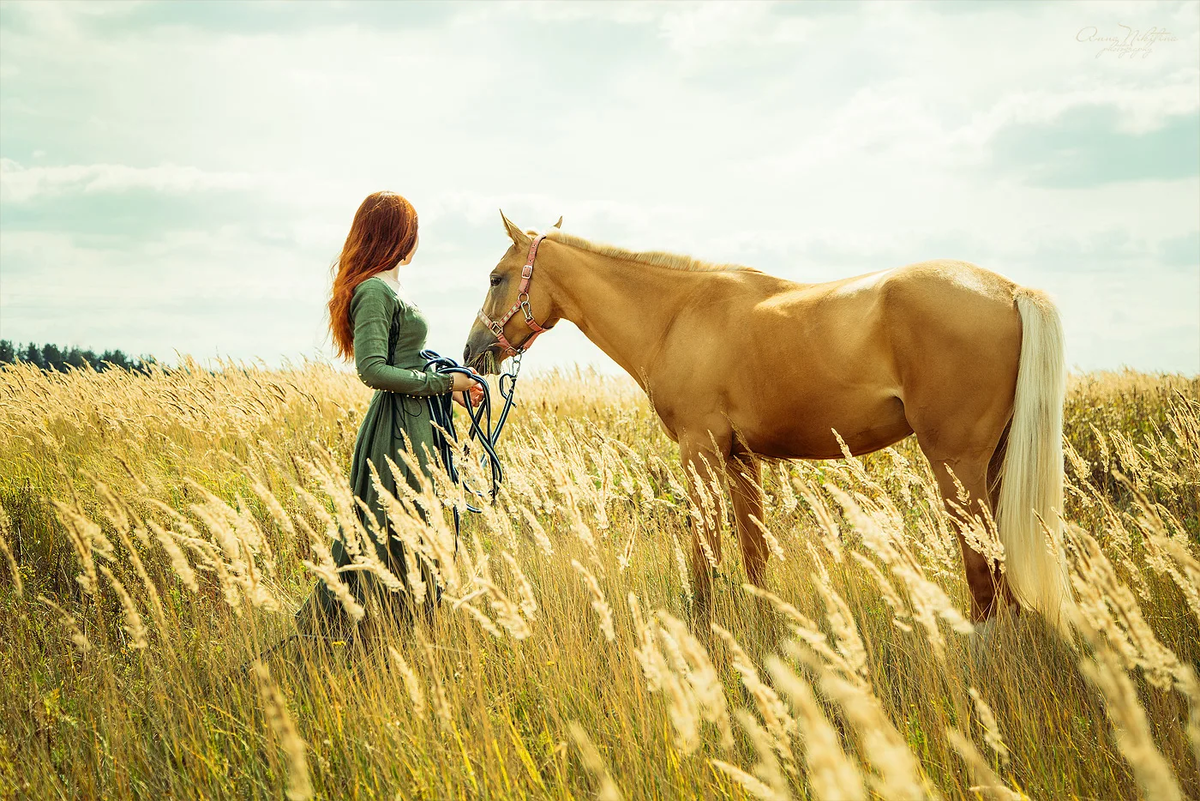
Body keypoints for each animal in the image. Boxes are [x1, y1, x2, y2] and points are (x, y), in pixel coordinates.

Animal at [463, 211, 1075, 623]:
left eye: (495, 277)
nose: (472, 354)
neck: (676, 315)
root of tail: (1010, 290)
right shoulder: (741, 460)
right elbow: (754, 555)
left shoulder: (700, 451)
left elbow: (705, 554)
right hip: (992, 466)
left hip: (956, 466)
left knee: (984, 572)